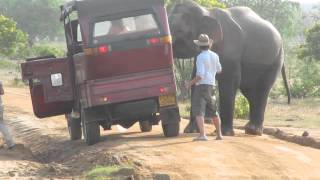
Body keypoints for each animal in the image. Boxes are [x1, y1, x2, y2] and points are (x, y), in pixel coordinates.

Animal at [169, 0, 292, 135]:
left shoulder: (231, 48)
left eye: (180, 31)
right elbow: (197, 79)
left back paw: (253, 131)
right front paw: (190, 131)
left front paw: (225, 133)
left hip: (275, 60)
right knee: (250, 91)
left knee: (261, 88)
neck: (207, 11)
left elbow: (229, 80)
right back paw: (249, 129)